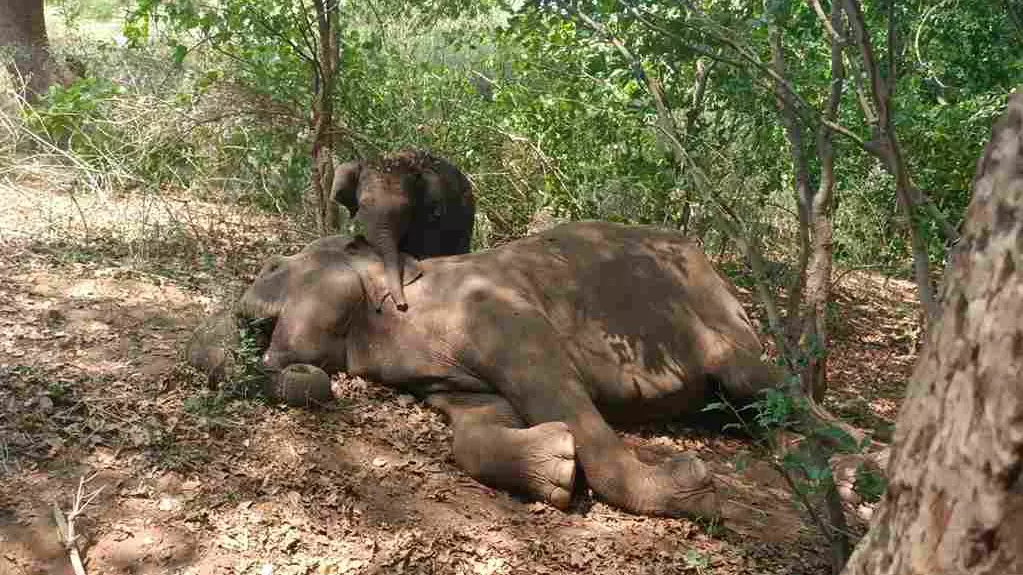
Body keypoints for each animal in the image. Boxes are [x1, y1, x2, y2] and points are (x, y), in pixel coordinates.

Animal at [221, 221, 782, 519]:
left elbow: (557, 390)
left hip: (715, 314)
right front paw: (556, 467)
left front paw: (694, 487)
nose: (241, 322)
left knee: (755, 381)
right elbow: (476, 427)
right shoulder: (446, 376)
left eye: (272, 267)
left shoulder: (501, 312)